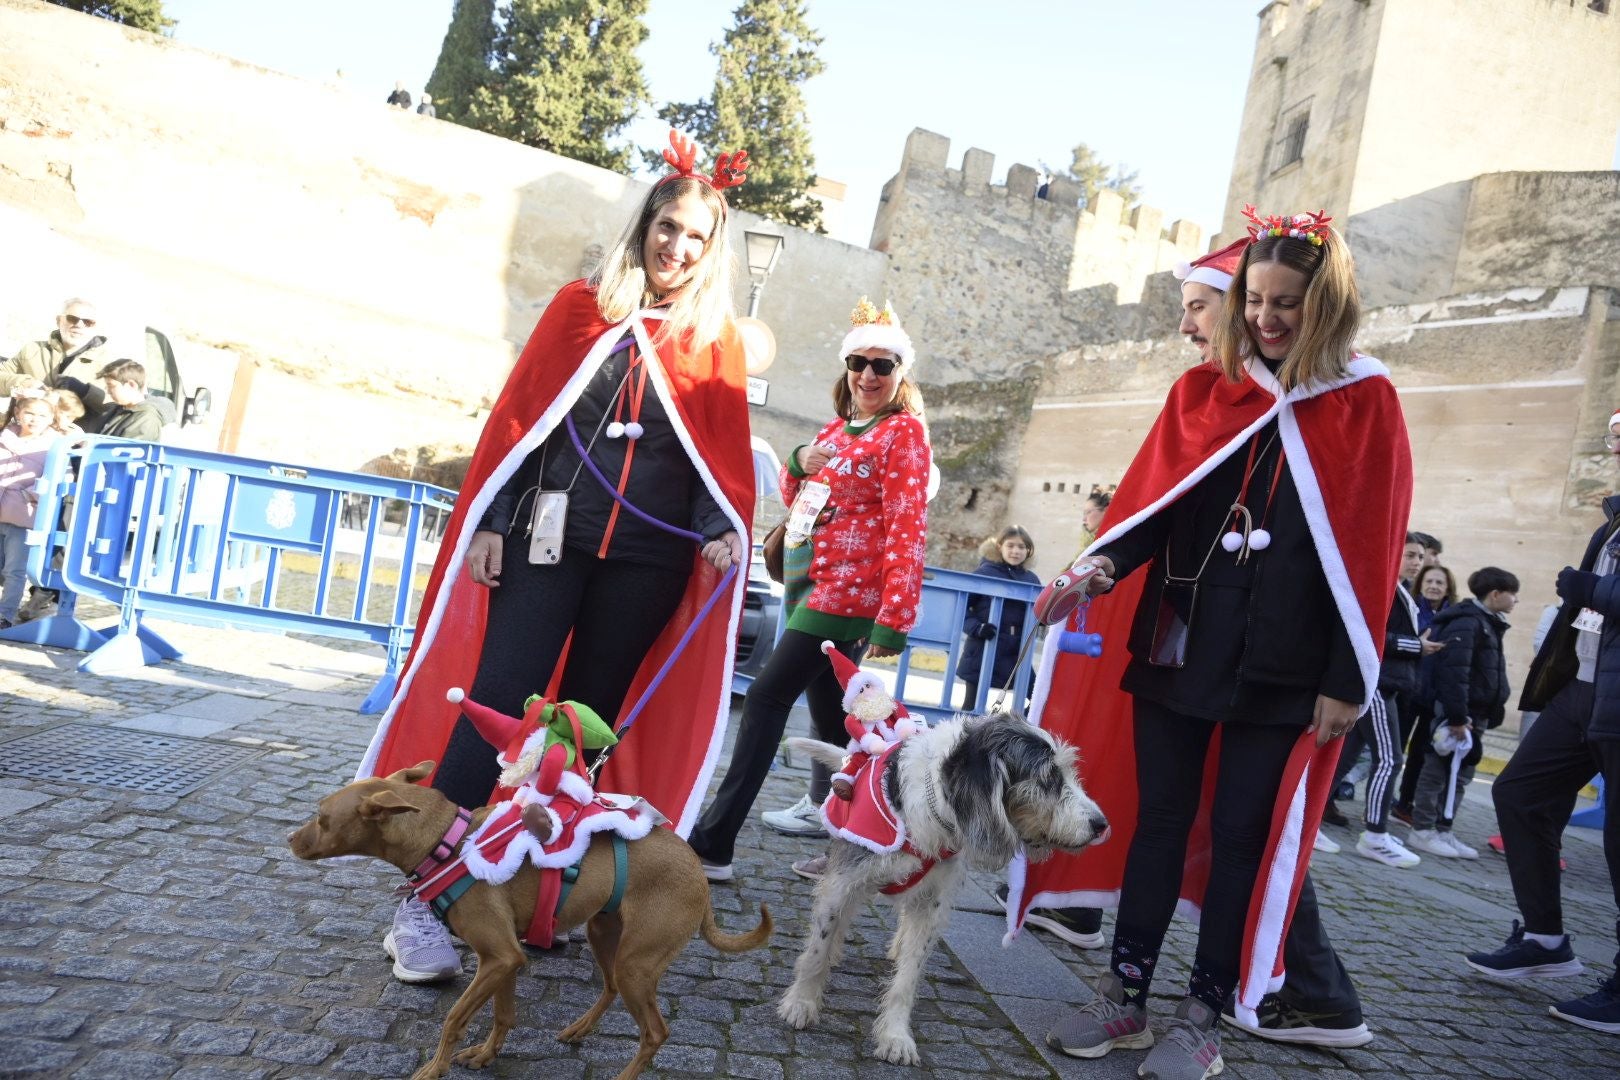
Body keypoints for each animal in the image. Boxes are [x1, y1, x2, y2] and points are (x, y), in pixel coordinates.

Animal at [289, 761, 771, 1080]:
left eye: (321, 817)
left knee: (655, 1032)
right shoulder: (505, 960)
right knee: (611, 987)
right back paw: (579, 1029)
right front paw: (485, 1056)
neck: (448, 843)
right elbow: (503, 1015)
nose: (289, 838)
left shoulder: (499, 957)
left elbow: (455, 1018)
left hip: (636, 964)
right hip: (607, 938)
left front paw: (433, 1068)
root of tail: (698, 874)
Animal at [777, 712, 1108, 1068]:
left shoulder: (932, 904)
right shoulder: (844, 878)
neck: (936, 812)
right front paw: (801, 1003)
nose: (1102, 825)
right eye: (1048, 777)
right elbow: (817, 948)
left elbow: (908, 978)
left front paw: (895, 1036)